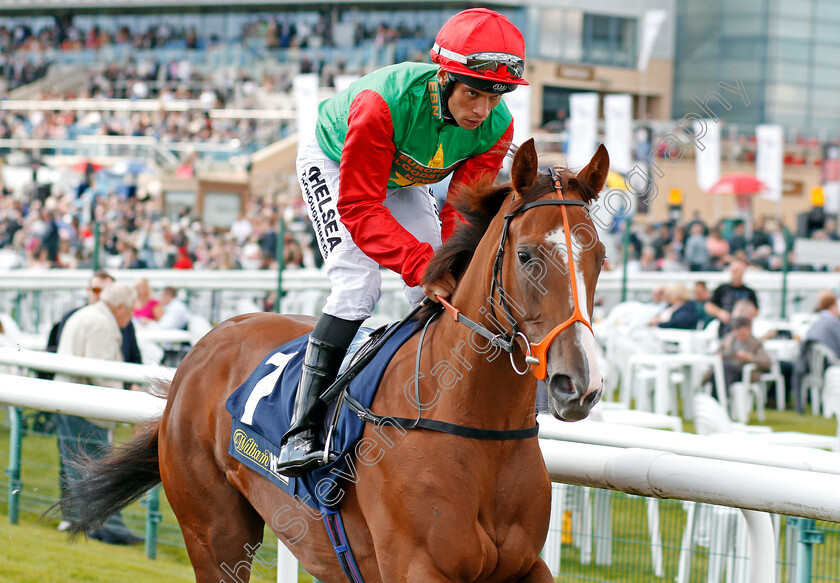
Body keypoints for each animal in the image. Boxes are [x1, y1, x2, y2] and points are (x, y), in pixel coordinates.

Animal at [60, 139, 612, 580]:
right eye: (526, 256)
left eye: (601, 256)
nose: (577, 384)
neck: (476, 427)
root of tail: (207, 345)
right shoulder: (418, 565)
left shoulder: (524, 566)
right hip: (214, 533)